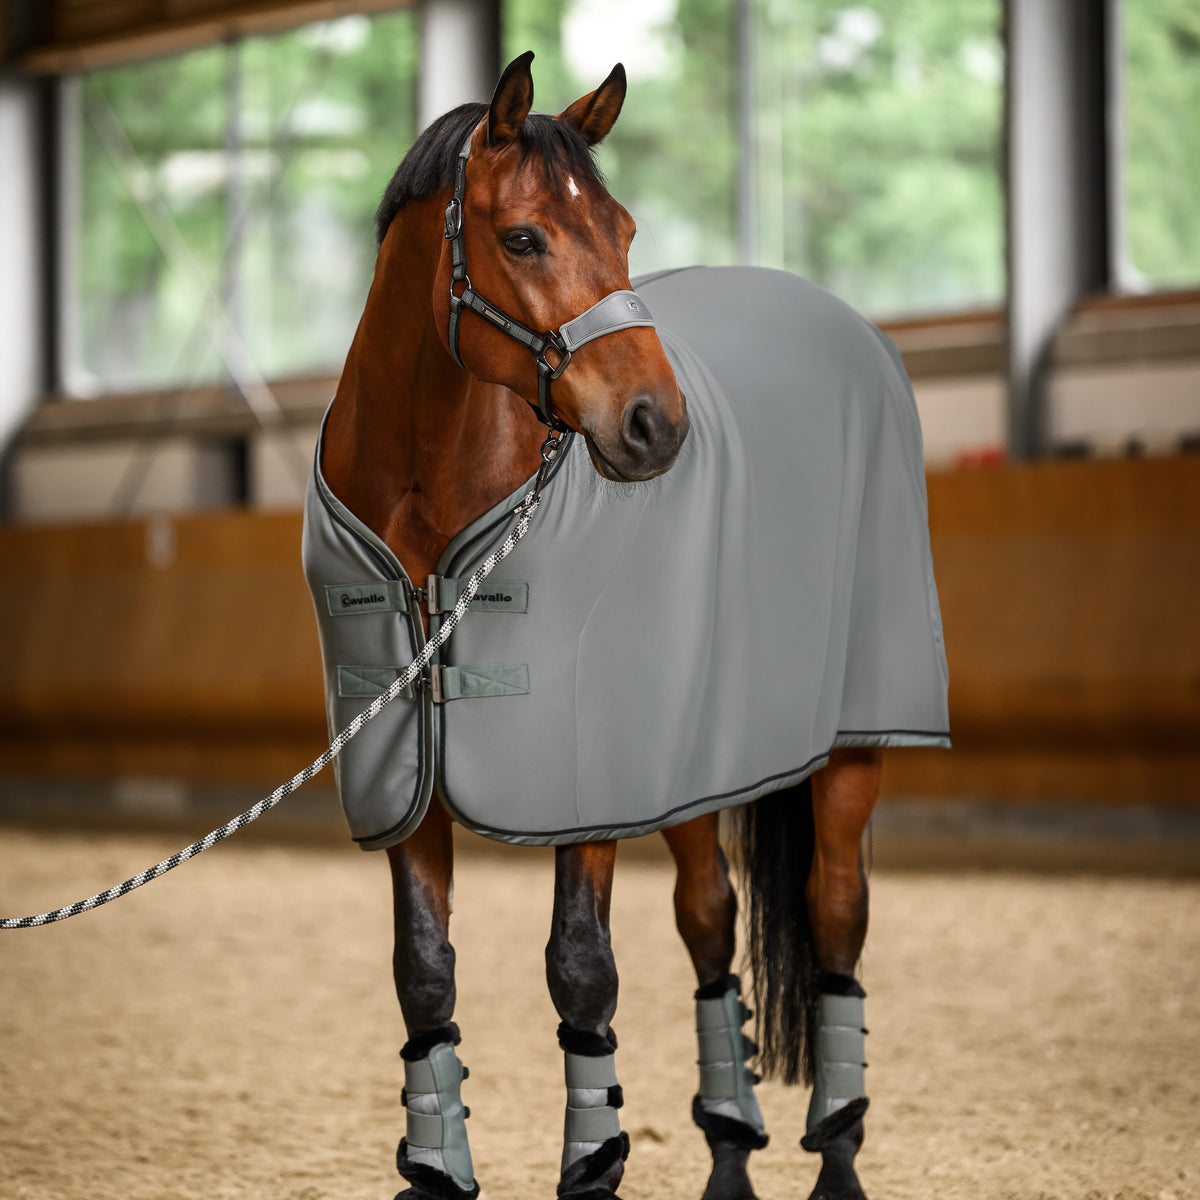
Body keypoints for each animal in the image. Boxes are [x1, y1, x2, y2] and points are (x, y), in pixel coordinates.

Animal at [306, 50, 949, 1200]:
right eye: (524, 237)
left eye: (626, 228)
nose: (657, 425)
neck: (428, 495)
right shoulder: (402, 771)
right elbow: (424, 976)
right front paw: (438, 1169)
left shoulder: (584, 786)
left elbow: (580, 970)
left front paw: (594, 1164)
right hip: (692, 760)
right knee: (710, 920)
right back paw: (730, 1150)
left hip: (852, 750)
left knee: (836, 915)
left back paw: (836, 1150)